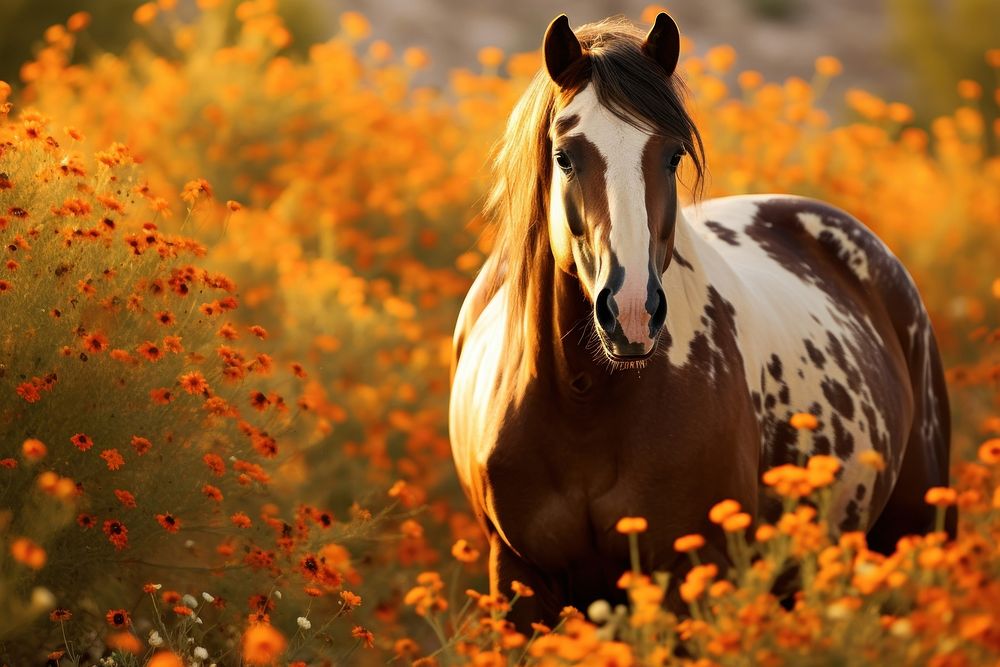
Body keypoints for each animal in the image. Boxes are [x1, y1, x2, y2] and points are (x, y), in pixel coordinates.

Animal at [448, 10, 952, 628]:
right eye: (564, 156)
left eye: (672, 155)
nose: (632, 311)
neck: (582, 400)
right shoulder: (518, 580)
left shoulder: (691, 571)